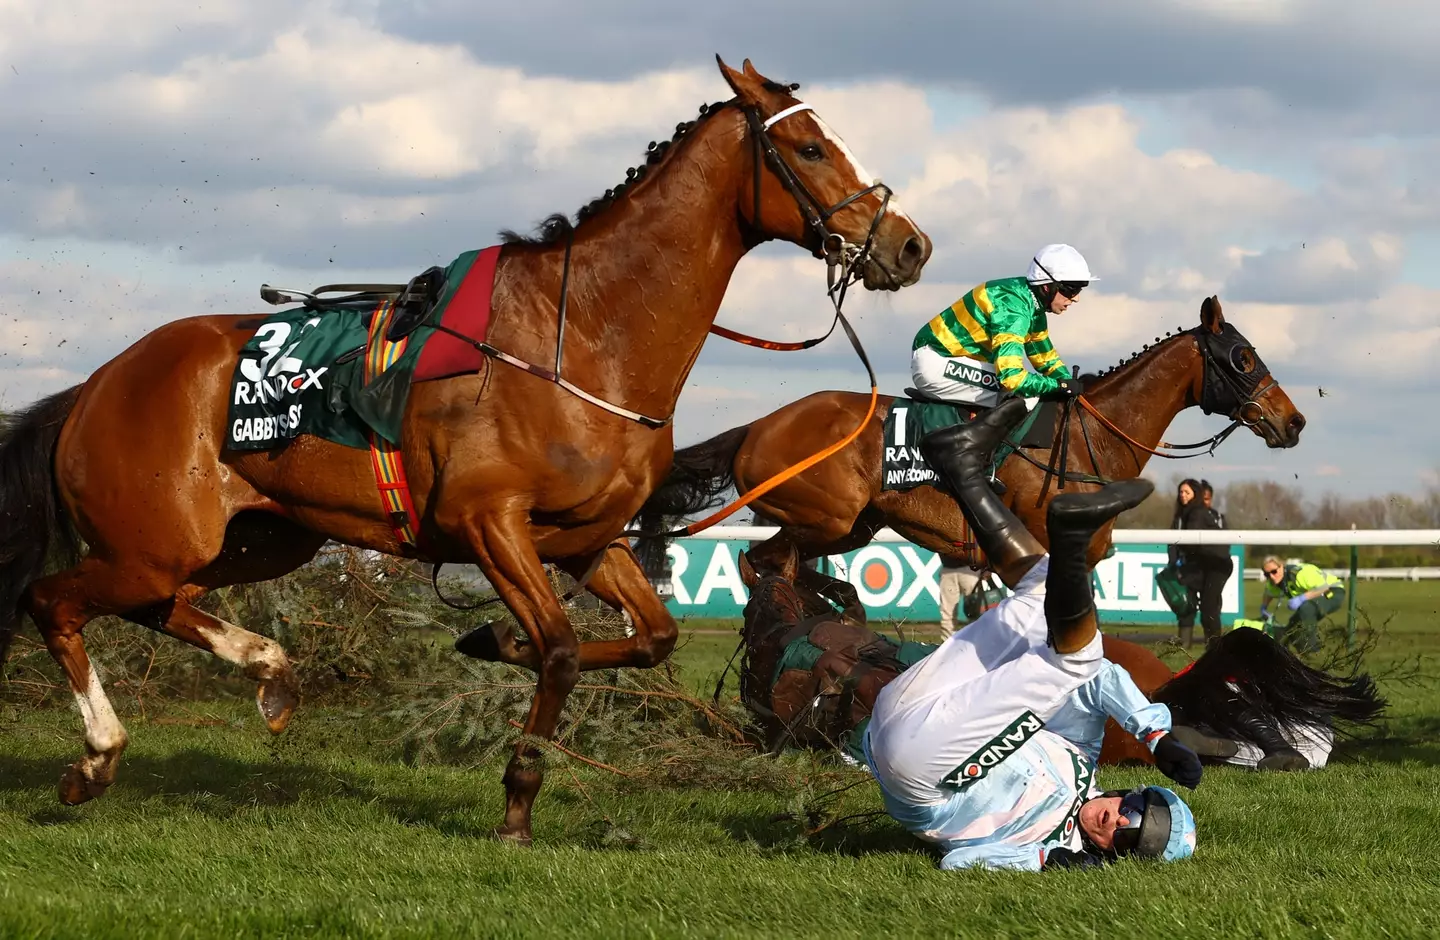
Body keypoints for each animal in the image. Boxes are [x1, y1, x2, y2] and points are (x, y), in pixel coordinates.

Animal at [0, 55, 933, 840]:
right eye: (810, 148)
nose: (909, 244)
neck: (581, 337)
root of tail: (96, 386)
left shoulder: (588, 540)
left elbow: (651, 638)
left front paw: (493, 645)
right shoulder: (491, 525)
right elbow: (560, 650)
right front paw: (518, 795)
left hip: (255, 540)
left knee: (154, 605)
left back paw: (270, 671)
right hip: (157, 541)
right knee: (54, 600)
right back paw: (96, 758)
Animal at [630, 293, 1307, 616]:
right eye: (1244, 357)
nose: (1293, 421)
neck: (1094, 440)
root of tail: (760, 425)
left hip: (850, 527)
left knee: (779, 567)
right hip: (822, 515)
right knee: (762, 564)